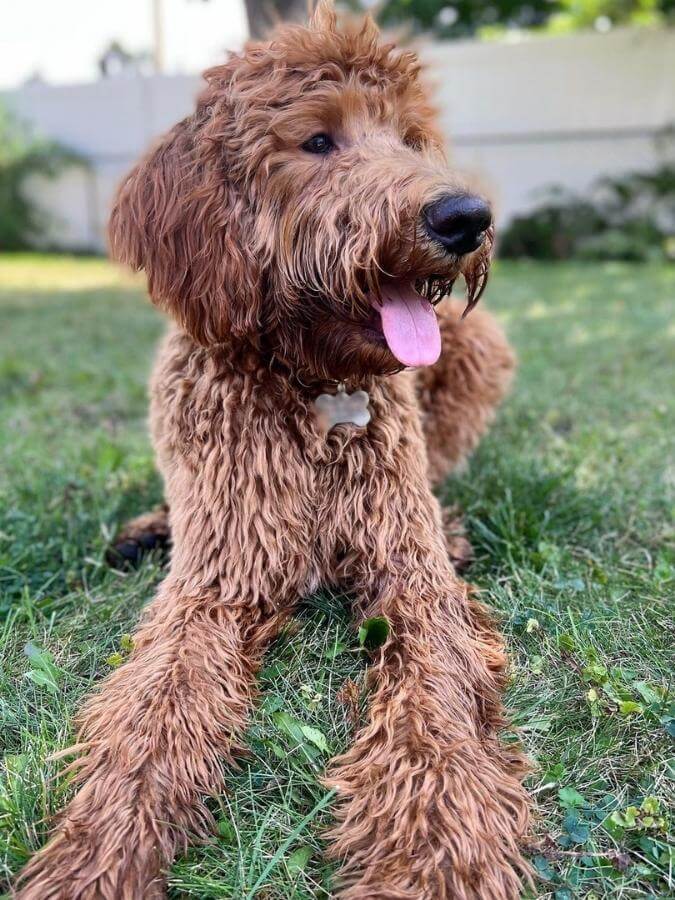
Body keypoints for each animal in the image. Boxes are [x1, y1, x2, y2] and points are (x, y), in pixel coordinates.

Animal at [15, 3, 532, 896]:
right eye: (317, 140)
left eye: (410, 138)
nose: (464, 217)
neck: (313, 390)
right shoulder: (215, 586)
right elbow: (152, 718)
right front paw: (96, 854)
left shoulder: (410, 577)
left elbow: (434, 706)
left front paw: (436, 853)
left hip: (479, 349)